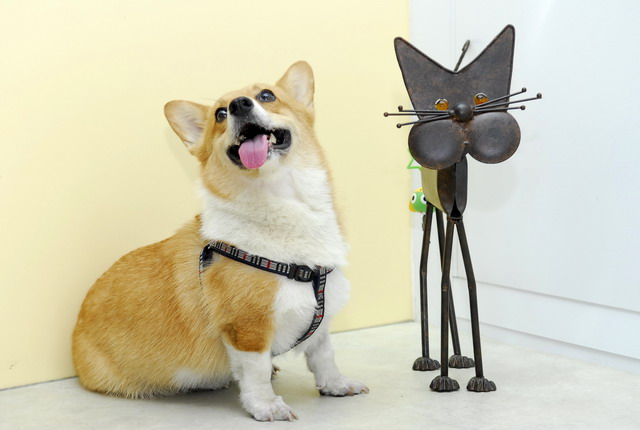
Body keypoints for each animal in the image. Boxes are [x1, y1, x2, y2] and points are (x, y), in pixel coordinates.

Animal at [72, 61, 368, 421]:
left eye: (267, 95)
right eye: (220, 114)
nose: (240, 104)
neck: (282, 199)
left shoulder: (320, 316)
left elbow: (324, 355)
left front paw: (336, 385)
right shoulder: (247, 329)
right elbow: (255, 372)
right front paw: (266, 406)